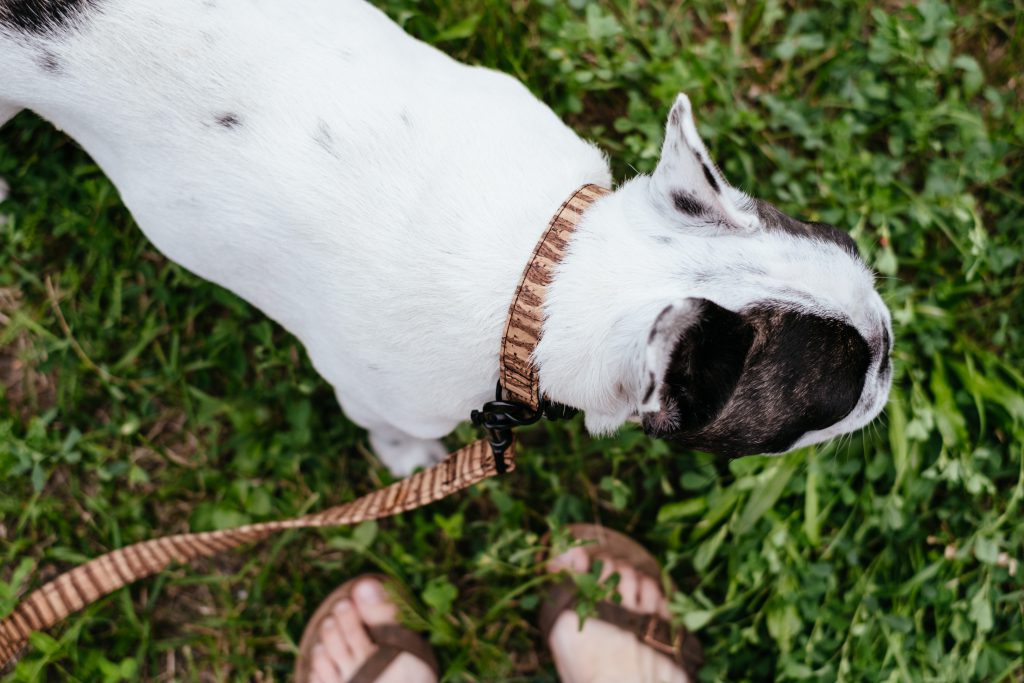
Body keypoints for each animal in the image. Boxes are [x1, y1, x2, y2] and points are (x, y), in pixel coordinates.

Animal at [0, 0, 892, 475]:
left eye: (851, 244)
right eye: (835, 397)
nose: (890, 347)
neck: (546, 270)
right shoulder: (377, 389)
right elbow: (396, 429)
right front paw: (407, 461)